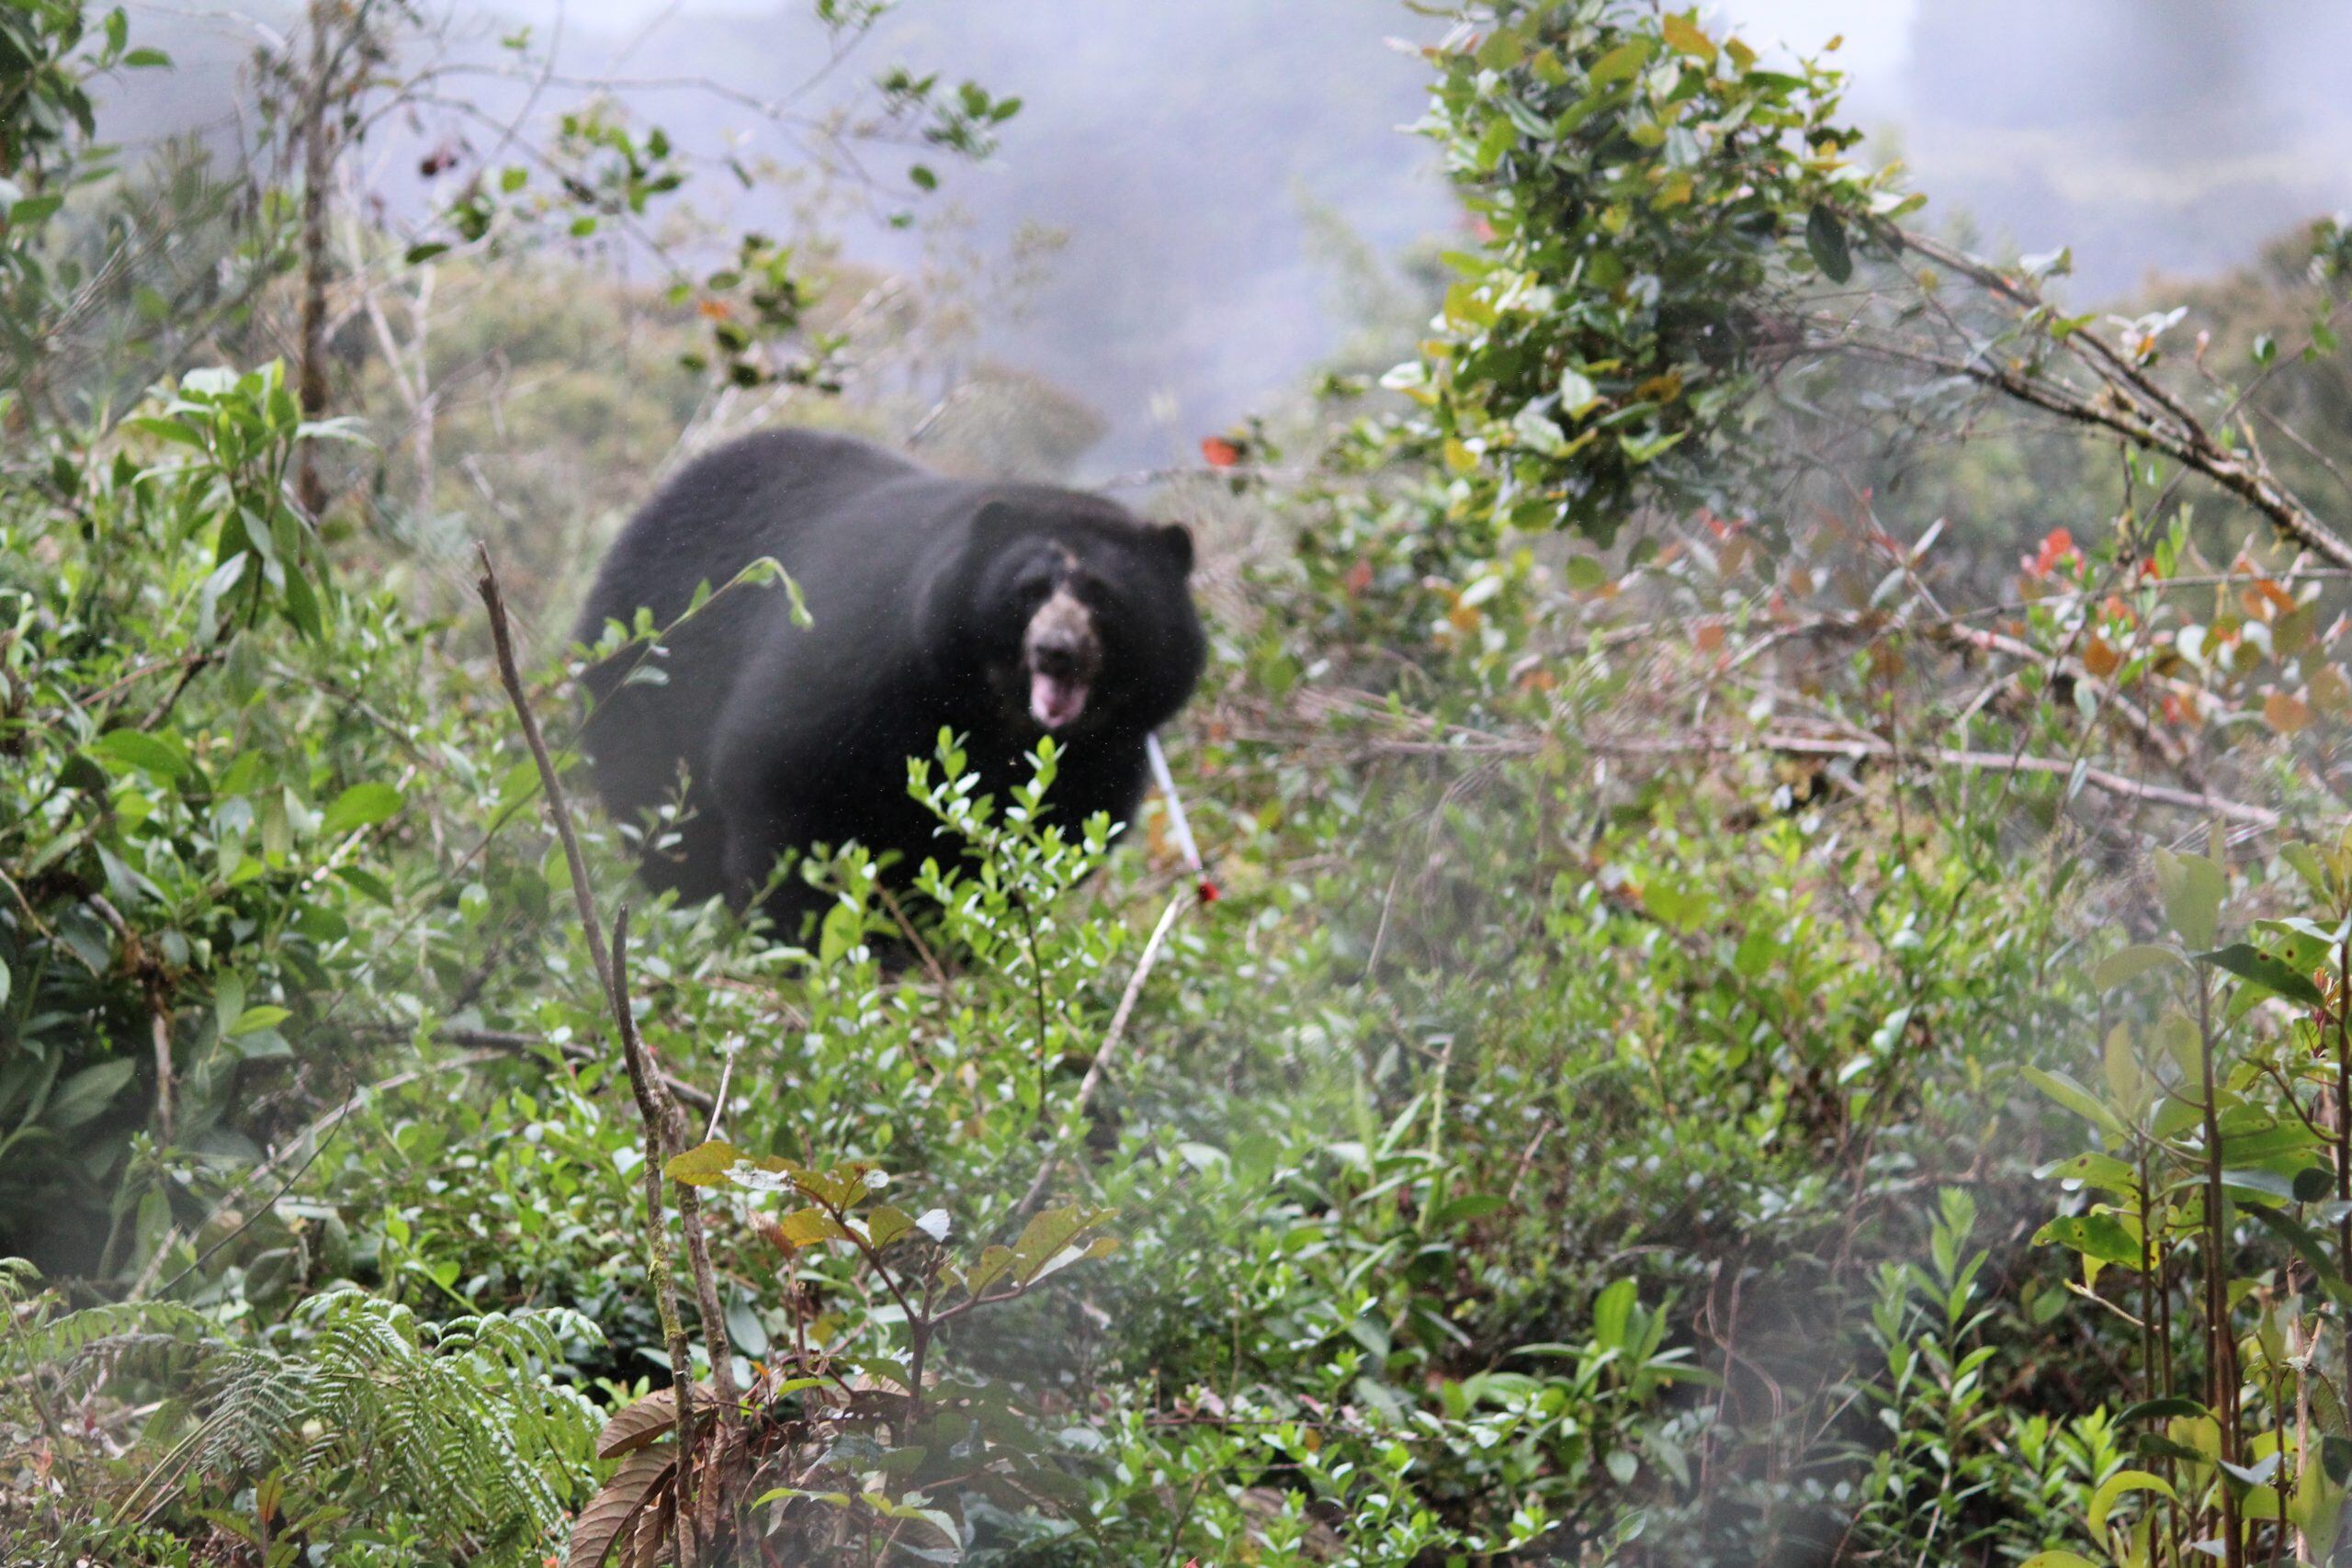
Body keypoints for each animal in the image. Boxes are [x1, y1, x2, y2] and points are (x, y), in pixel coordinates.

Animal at [572, 427, 1207, 936]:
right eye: (1029, 591)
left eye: (1104, 599)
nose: (1057, 653)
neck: (998, 718)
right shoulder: (861, 662)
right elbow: (777, 776)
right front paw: (803, 938)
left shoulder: (1101, 759)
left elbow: (1045, 841)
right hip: (647, 676)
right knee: (661, 807)